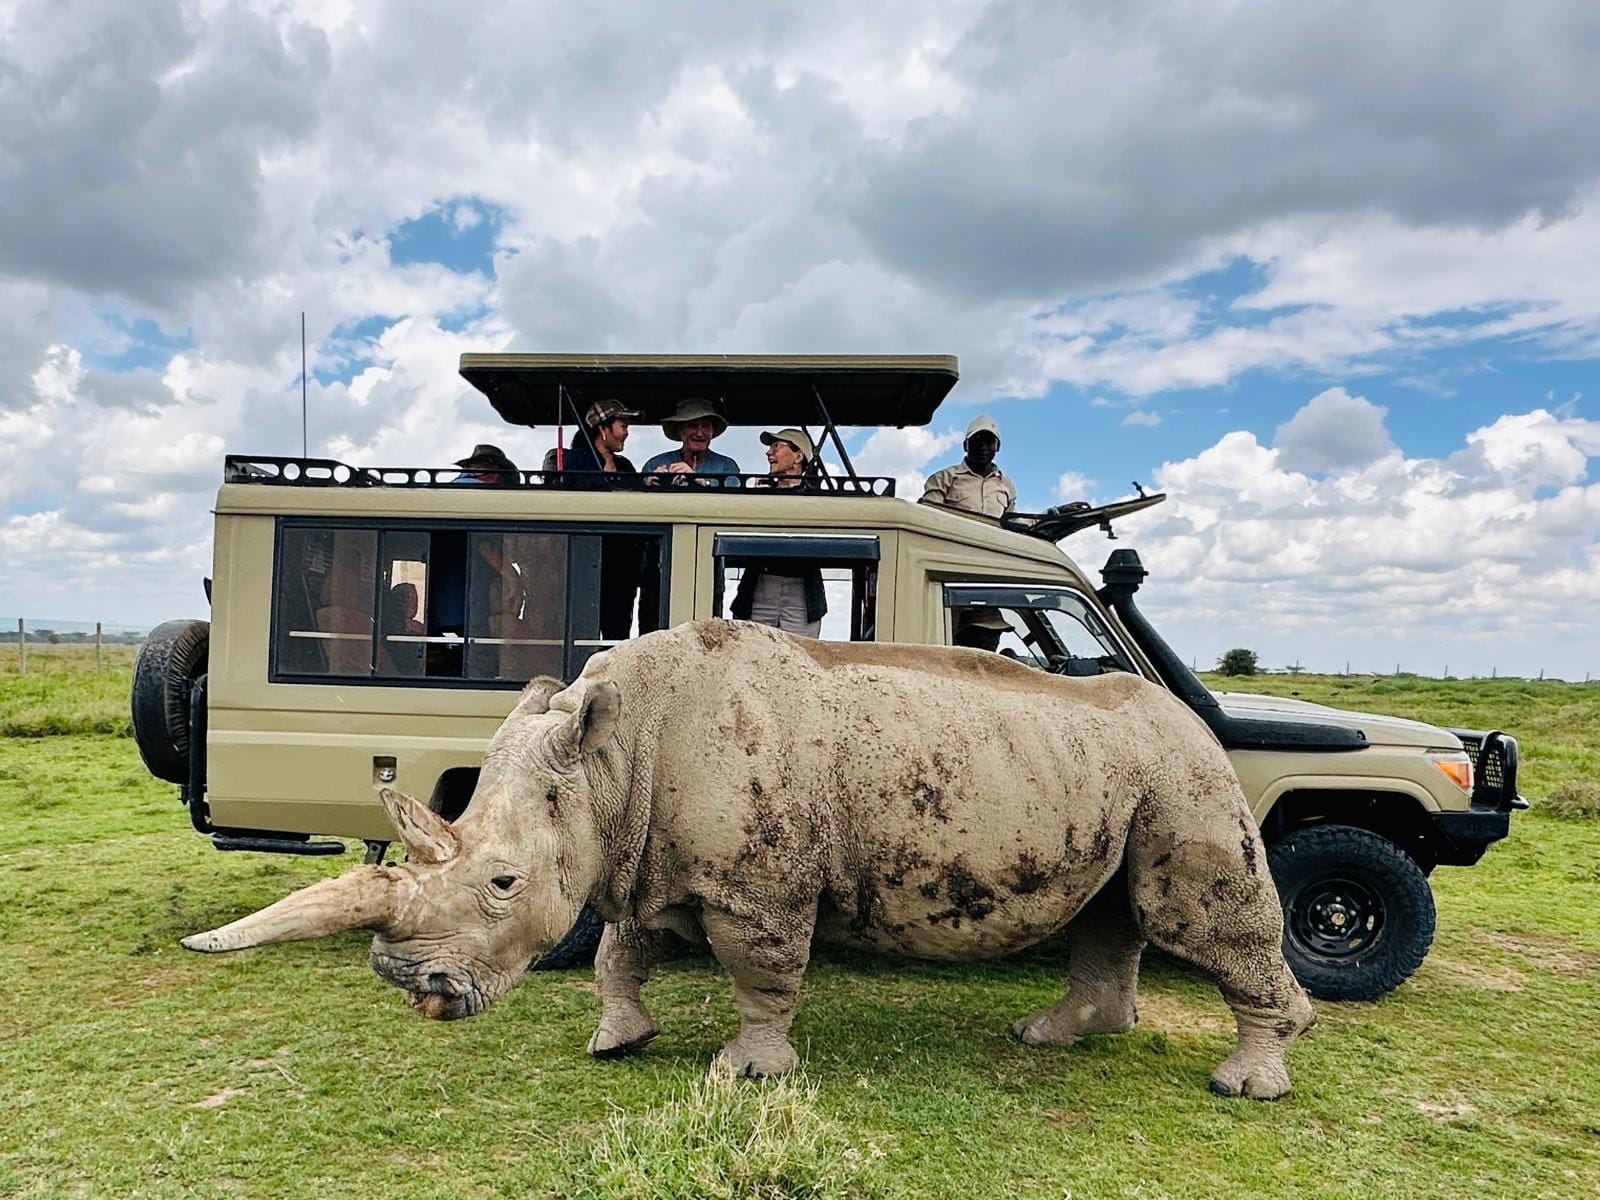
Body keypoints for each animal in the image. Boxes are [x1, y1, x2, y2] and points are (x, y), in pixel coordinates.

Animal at [184, 620, 1314, 1098]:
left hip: (1183, 776)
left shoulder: (754, 882)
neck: (607, 756)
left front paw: (745, 1072)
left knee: (1190, 916)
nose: (405, 986)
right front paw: (615, 1042)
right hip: (1119, 773)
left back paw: (1245, 1086)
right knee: (1111, 911)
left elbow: (760, 971)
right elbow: (620, 951)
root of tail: (1199, 719)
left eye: (502, 883)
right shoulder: (636, 852)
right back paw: (1056, 1037)